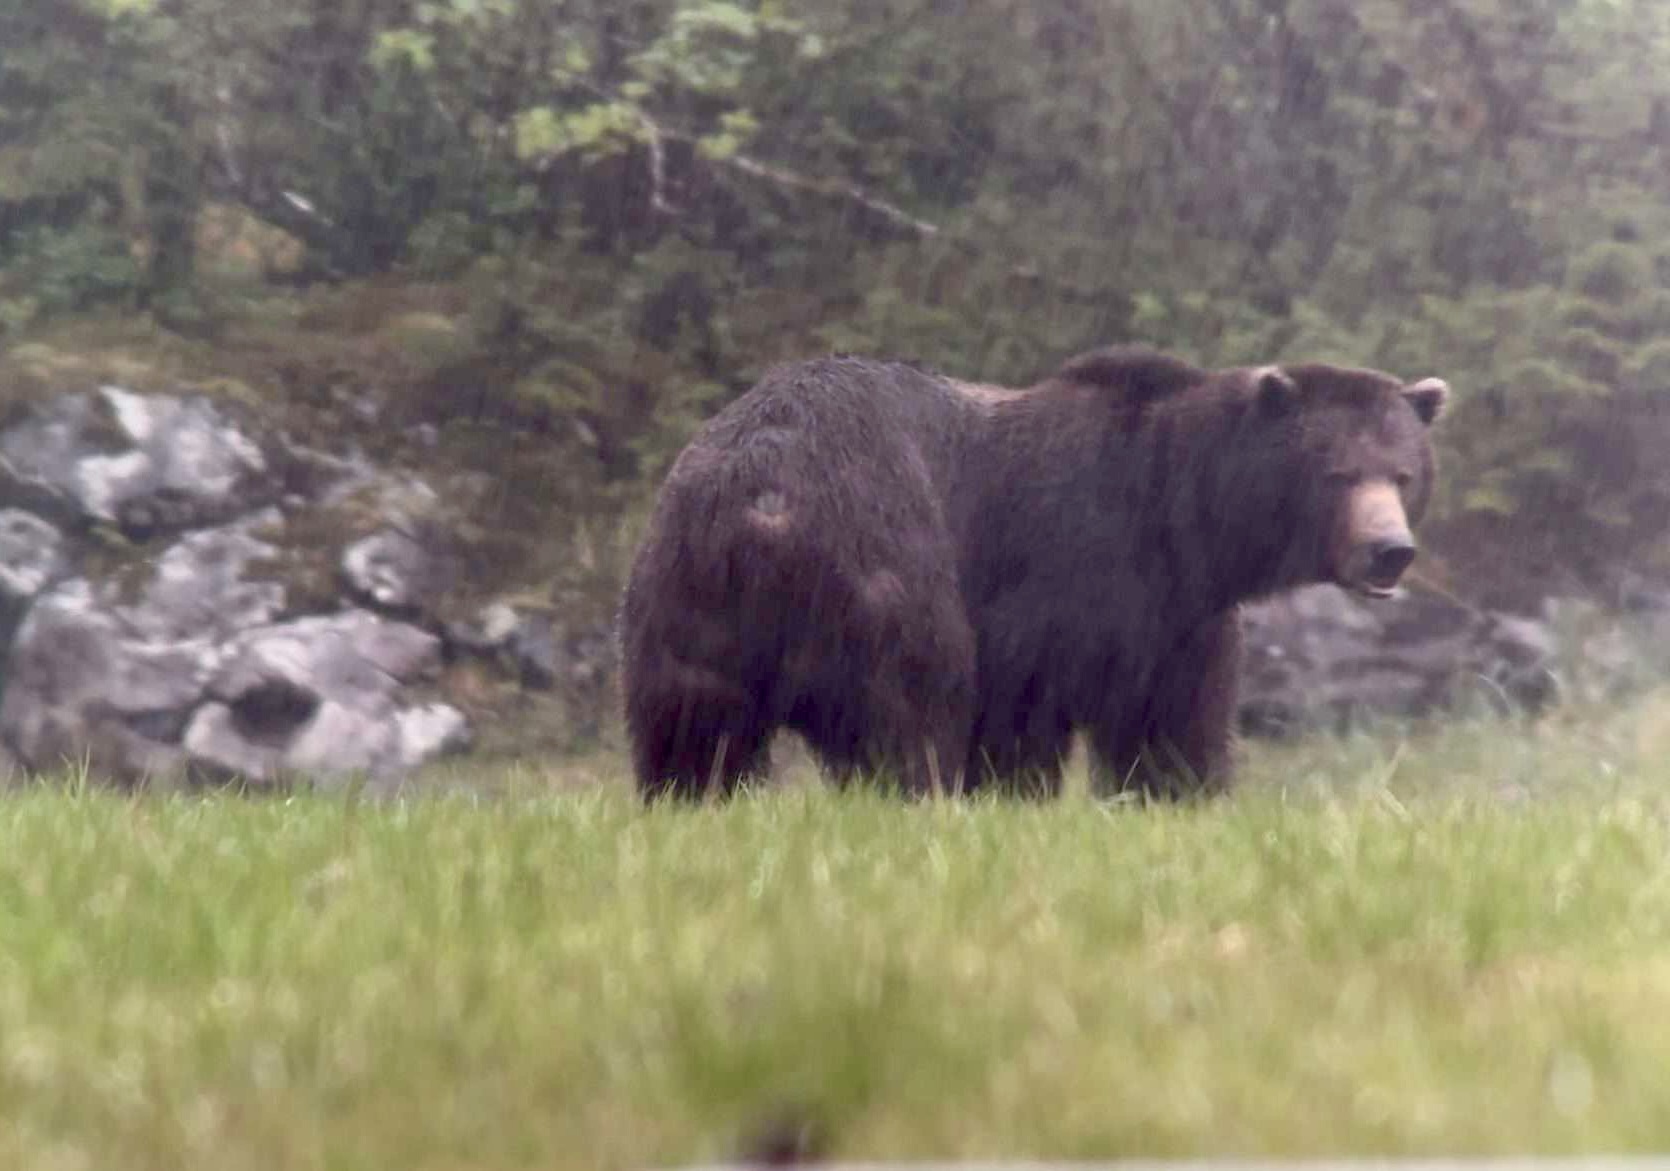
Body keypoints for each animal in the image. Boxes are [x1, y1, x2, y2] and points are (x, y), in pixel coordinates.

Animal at [621, 342, 1442, 798]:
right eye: (1338, 473)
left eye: (1401, 473)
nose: (1389, 549)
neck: (1183, 520)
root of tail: (764, 504)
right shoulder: (1065, 561)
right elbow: (1020, 708)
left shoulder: (1178, 619)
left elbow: (1173, 724)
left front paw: (1180, 795)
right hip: (882, 558)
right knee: (908, 706)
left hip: (683, 594)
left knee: (691, 732)